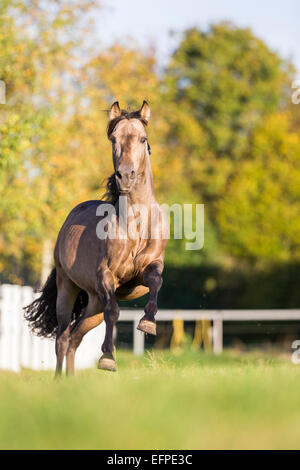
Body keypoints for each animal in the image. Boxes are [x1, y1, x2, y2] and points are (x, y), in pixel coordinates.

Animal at [24, 101, 168, 376]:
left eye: (143, 139)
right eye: (114, 138)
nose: (125, 175)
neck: (135, 224)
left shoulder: (148, 268)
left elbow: (156, 281)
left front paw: (148, 323)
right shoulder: (106, 276)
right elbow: (114, 312)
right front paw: (108, 359)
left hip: (93, 305)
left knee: (74, 338)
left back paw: (72, 381)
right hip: (68, 288)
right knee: (62, 337)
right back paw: (59, 380)